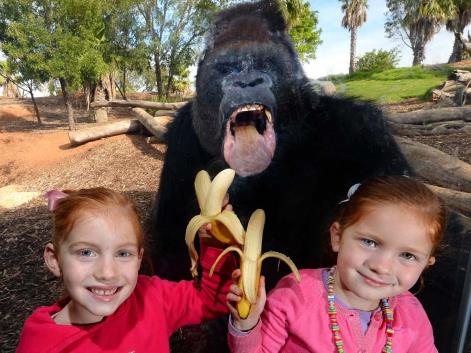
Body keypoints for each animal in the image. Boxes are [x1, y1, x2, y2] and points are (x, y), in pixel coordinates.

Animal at [150, 1, 468, 350]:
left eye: (265, 64)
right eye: (228, 69)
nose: (247, 82)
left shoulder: (359, 127)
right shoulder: (181, 140)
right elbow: (170, 251)